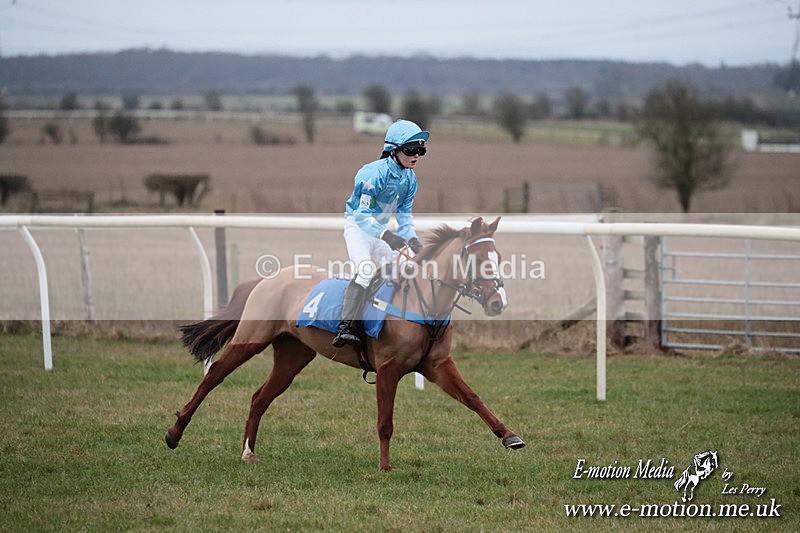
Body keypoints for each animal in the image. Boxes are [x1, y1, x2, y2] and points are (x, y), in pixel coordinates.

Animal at [165, 216, 525, 471]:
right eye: (479, 259)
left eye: (498, 256)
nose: (499, 302)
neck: (422, 303)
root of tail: (266, 279)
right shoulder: (388, 368)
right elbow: (385, 422)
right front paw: (385, 466)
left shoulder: (437, 365)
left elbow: (474, 399)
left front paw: (510, 436)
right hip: (250, 339)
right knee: (213, 377)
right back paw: (174, 433)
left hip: (293, 356)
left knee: (259, 397)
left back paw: (248, 452)